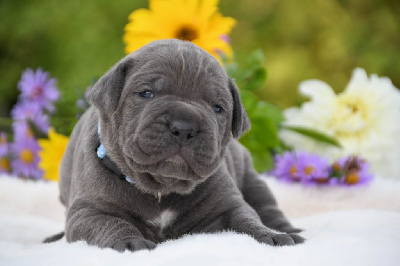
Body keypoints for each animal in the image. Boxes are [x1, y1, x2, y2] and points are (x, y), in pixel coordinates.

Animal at [57, 39, 304, 251]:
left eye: (217, 108)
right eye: (146, 93)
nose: (184, 127)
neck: (161, 190)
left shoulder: (228, 205)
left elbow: (247, 219)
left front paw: (270, 235)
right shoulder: (88, 212)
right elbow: (109, 223)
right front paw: (128, 241)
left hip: (253, 181)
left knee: (268, 207)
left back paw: (289, 230)